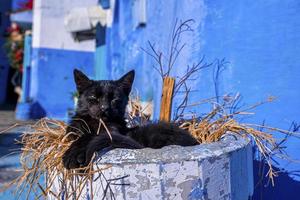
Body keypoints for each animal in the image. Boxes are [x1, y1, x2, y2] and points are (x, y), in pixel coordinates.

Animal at [62, 69, 198, 169]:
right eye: (94, 97)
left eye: (114, 99)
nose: (104, 107)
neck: (97, 123)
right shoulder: (72, 131)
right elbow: (79, 135)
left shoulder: (113, 133)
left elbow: (89, 136)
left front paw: (73, 155)